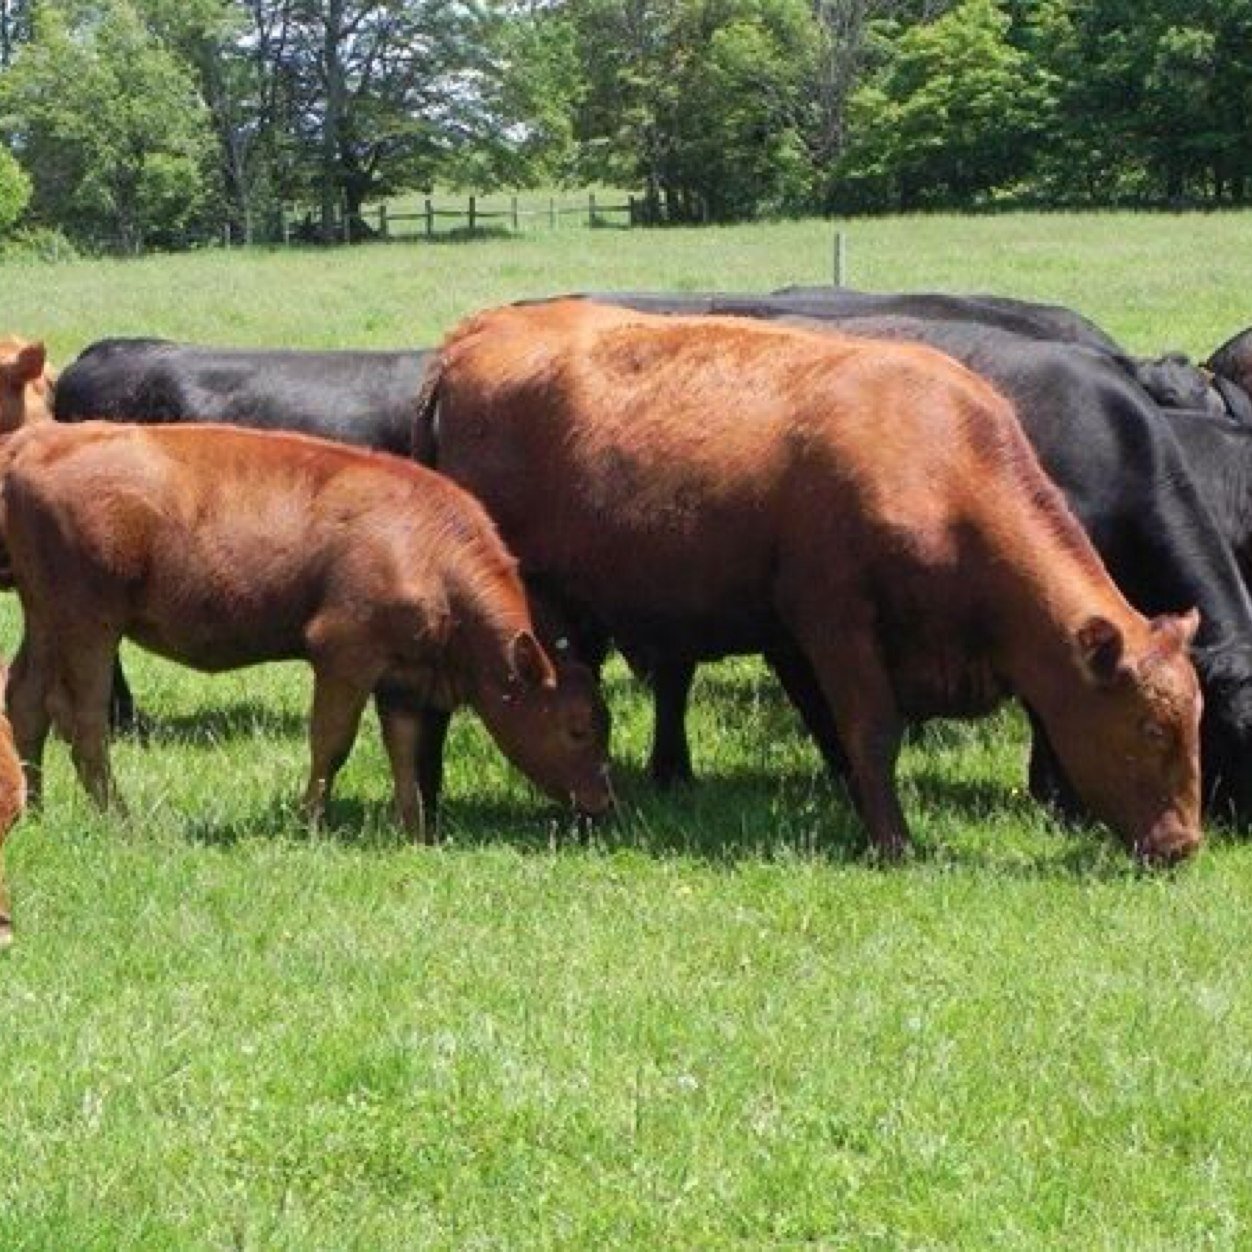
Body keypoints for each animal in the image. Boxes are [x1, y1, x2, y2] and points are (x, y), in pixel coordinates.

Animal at [0, 415, 610, 836]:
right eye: (578, 728)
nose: (605, 802)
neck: (425, 546)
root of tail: (37, 440)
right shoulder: (344, 654)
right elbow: (332, 741)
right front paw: (310, 822)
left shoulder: (403, 676)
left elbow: (403, 750)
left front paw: (413, 831)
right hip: (89, 624)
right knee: (84, 722)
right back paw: (120, 819)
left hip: (46, 618)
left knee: (26, 701)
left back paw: (36, 811)